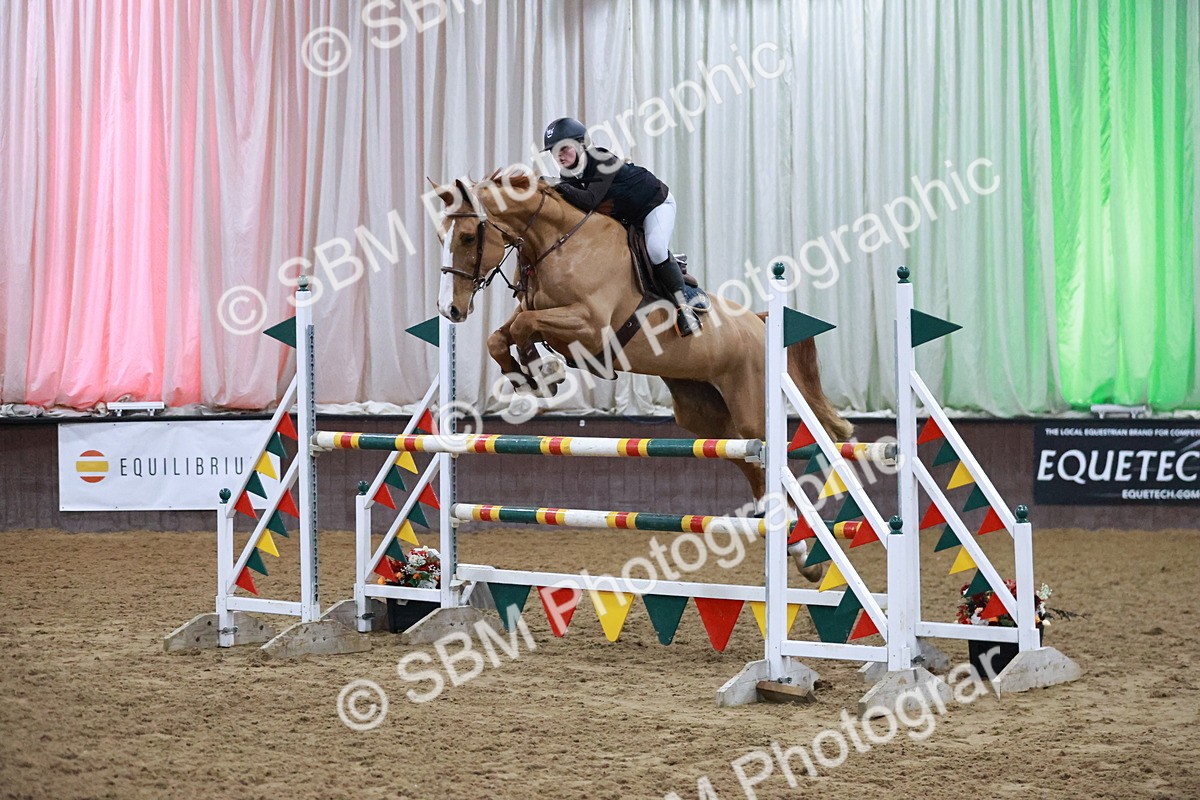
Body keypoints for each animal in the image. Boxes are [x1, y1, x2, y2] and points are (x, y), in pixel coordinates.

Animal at [432, 172, 853, 581]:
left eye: (467, 237)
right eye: (442, 238)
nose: (449, 309)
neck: (558, 242)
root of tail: (760, 324)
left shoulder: (589, 326)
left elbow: (524, 326)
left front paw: (544, 371)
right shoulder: (543, 315)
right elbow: (502, 336)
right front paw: (528, 375)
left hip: (752, 408)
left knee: (770, 459)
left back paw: (801, 548)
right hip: (705, 416)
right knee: (749, 461)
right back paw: (799, 552)